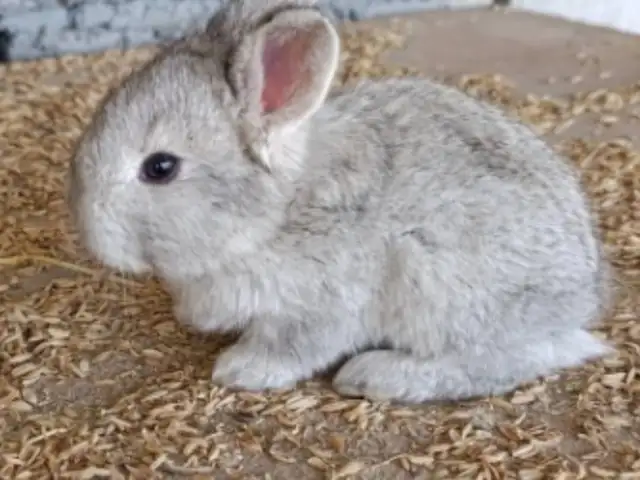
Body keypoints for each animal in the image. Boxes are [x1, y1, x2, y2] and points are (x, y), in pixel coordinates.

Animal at [67, 0, 613, 403]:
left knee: (503, 361)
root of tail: (578, 299)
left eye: (160, 167)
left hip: (439, 282)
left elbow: (294, 346)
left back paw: (378, 375)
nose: (88, 231)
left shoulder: (321, 304)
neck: (273, 217)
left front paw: (240, 370)